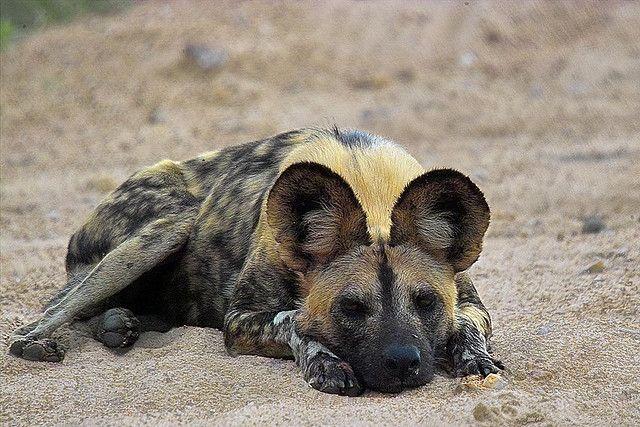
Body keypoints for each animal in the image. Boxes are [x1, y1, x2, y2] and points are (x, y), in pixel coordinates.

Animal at [7, 129, 502, 396]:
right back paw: (38, 343)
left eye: (426, 302)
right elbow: (294, 322)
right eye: (350, 308)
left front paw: (476, 360)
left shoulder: (472, 304)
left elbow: (467, 327)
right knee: (49, 312)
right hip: (164, 231)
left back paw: (118, 324)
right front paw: (325, 363)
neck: (370, 194)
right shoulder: (241, 319)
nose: (402, 363)